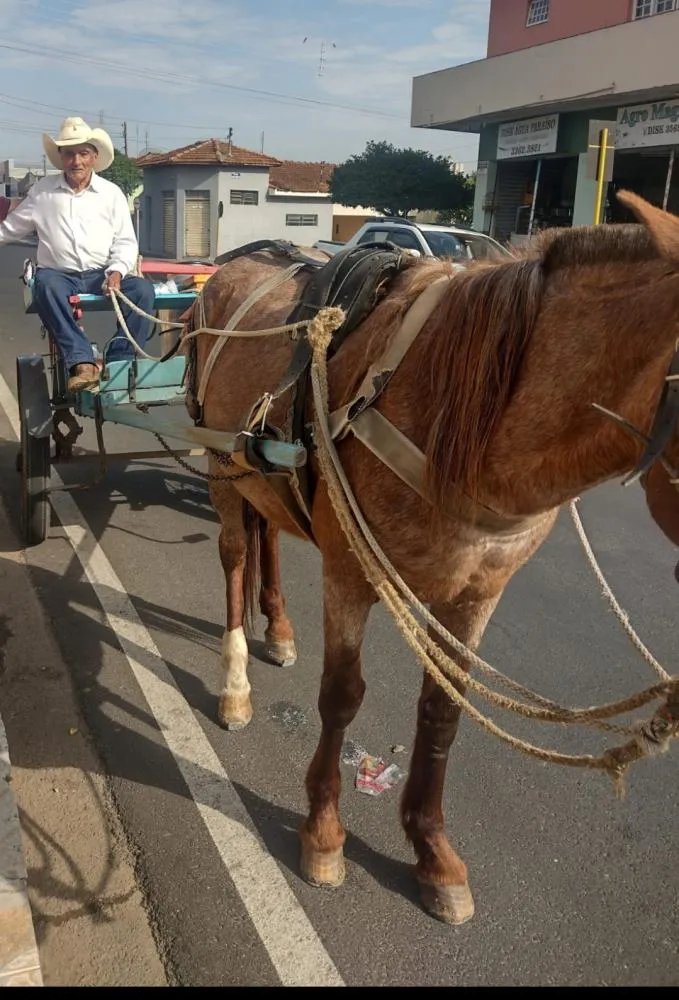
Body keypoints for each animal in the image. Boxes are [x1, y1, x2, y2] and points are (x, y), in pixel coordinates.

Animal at [183, 191, 679, 925]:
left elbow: (443, 709)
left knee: (269, 534)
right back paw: (236, 681)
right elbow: (341, 698)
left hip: (260, 473)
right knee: (236, 553)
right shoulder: (349, 572)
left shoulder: (477, 591)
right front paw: (324, 834)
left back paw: (279, 629)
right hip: (220, 466)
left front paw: (432, 853)